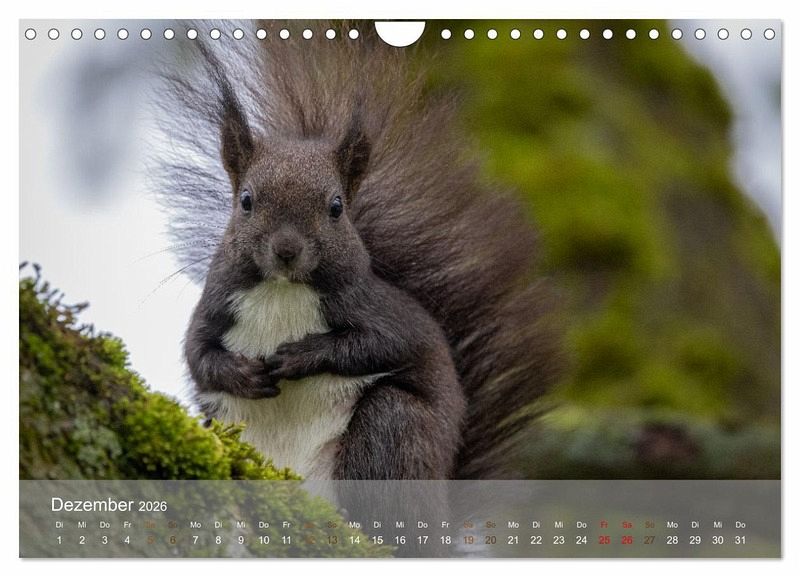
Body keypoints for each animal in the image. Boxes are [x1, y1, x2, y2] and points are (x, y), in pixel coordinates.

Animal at [155, 21, 559, 481]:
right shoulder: (214, 309)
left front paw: (302, 356)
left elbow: (379, 345)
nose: (286, 250)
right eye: (245, 201)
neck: (283, 292)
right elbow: (197, 354)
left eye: (336, 207)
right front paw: (242, 374)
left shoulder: (383, 314)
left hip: (391, 425)